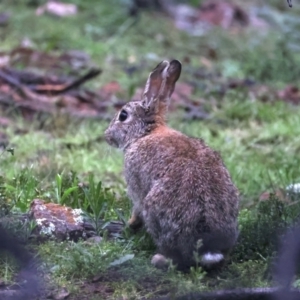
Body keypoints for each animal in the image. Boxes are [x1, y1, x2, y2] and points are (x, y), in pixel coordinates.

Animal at [105, 59, 239, 270]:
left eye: (123, 115)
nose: (107, 135)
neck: (145, 133)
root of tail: (206, 248)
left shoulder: (136, 184)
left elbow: (136, 208)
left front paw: (129, 225)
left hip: (156, 210)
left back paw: (159, 259)